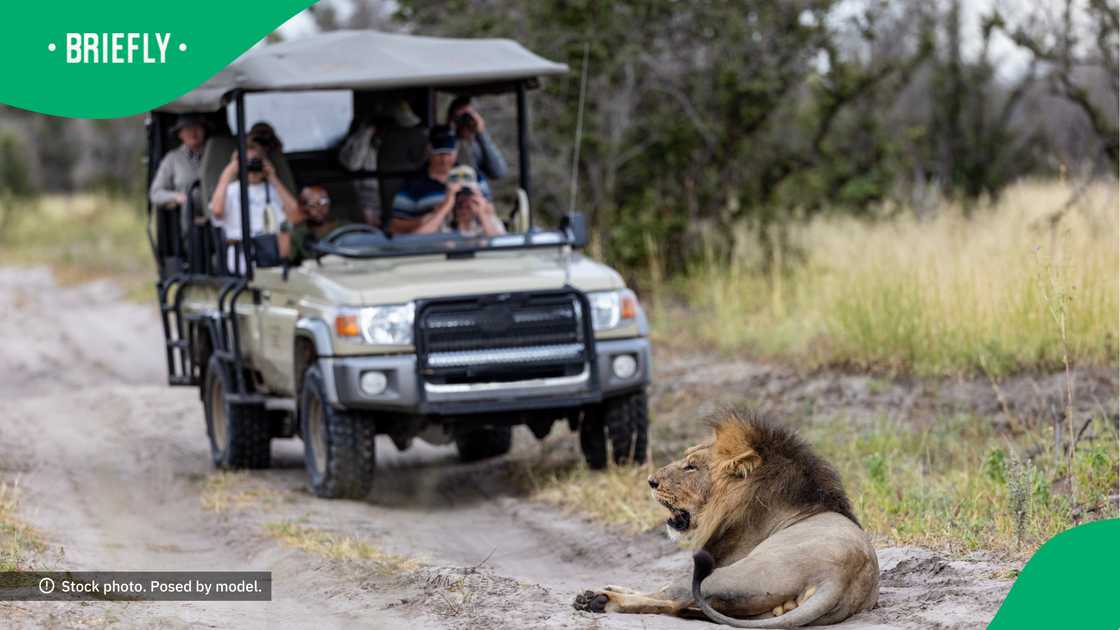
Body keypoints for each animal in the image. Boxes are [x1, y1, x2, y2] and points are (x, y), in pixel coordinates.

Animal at [573, 408, 878, 623]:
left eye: (691, 467)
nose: (651, 481)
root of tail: (837, 579)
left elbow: (662, 589)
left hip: (727, 573)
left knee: (674, 596)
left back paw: (599, 599)